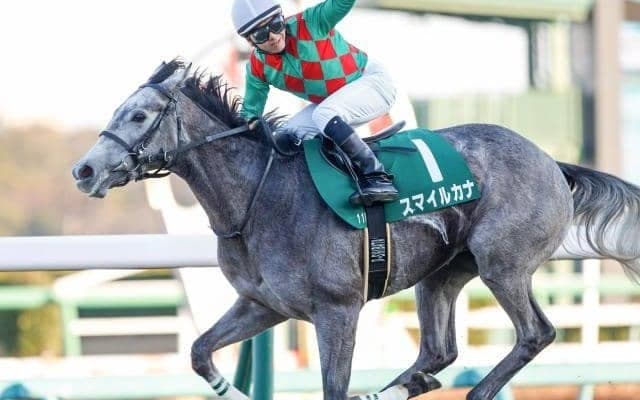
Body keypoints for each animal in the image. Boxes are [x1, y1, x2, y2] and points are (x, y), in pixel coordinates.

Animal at [72, 59, 640, 400]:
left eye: (138, 115)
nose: (84, 170)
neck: (259, 196)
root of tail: (552, 163)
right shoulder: (264, 305)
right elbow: (199, 351)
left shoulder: (337, 309)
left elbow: (332, 387)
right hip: (443, 273)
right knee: (439, 351)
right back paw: (406, 386)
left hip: (503, 264)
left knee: (535, 333)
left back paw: (477, 390)